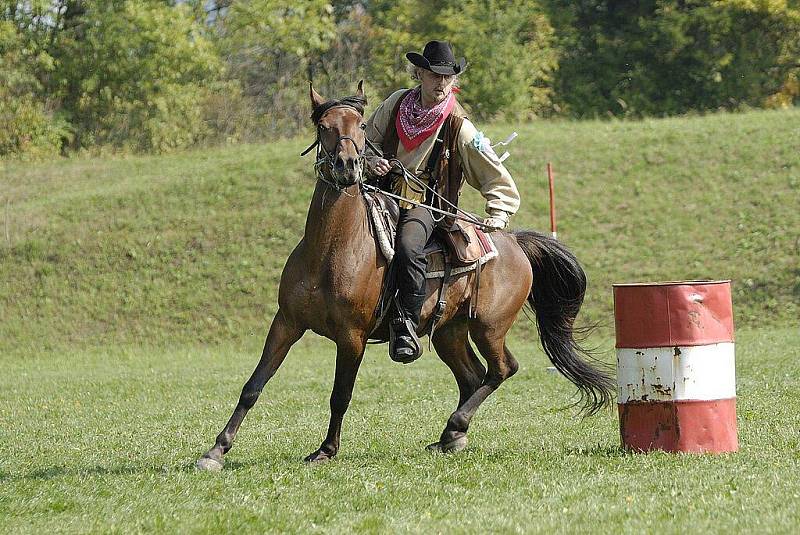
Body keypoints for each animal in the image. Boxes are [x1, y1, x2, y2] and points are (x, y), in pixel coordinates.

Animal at [197, 81, 616, 472]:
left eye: (360, 125)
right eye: (323, 125)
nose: (348, 165)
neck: (330, 248)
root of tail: (512, 240)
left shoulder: (352, 337)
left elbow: (340, 395)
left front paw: (326, 450)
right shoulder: (286, 322)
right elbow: (253, 386)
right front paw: (216, 450)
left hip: (489, 327)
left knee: (501, 369)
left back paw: (455, 425)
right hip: (449, 332)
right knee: (472, 376)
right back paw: (451, 437)